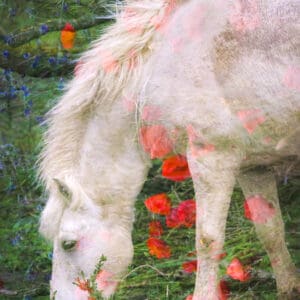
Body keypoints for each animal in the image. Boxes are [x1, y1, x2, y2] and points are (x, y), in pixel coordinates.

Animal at [38, 0, 298, 298]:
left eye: (68, 243)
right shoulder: (254, 167)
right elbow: (270, 230)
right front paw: (290, 287)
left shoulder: (211, 159)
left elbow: (208, 241)